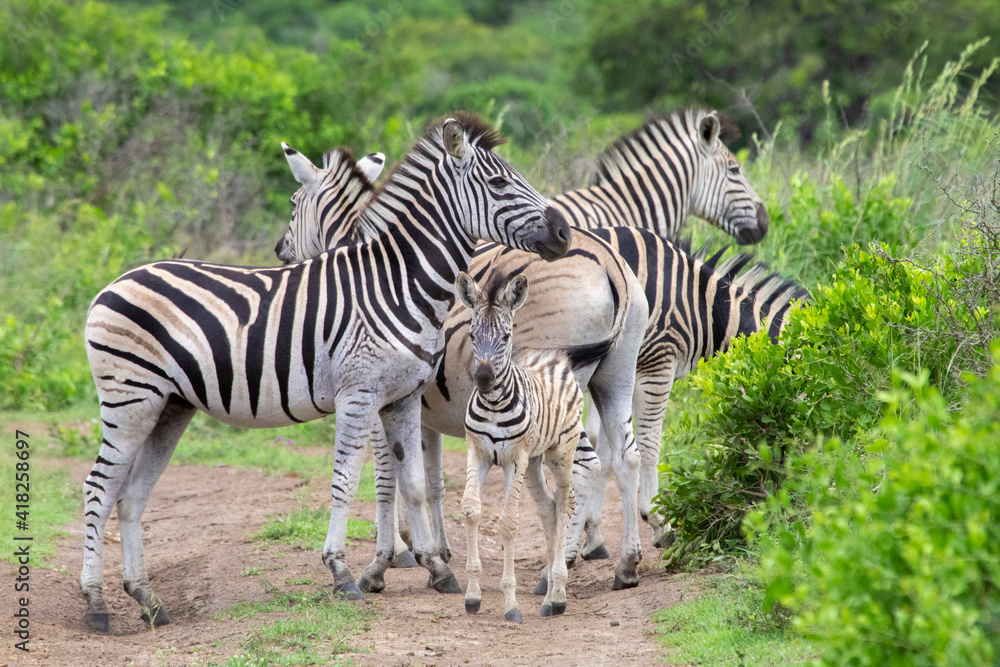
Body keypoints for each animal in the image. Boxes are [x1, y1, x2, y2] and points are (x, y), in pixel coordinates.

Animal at [79, 112, 572, 632]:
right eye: (499, 183)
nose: (564, 233)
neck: (398, 285)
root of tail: (111, 285)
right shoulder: (360, 395)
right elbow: (349, 481)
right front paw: (344, 573)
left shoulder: (403, 398)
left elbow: (413, 483)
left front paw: (436, 568)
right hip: (131, 397)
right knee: (100, 487)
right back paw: (96, 604)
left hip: (169, 406)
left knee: (131, 495)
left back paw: (148, 600)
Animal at [456, 271, 585, 623]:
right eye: (472, 335)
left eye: (505, 336)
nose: (483, 378)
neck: (493, 405)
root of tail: (554, 358)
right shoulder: (478, 452)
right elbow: (471, 509)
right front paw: (473, 596)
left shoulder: (515, 457)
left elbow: (508, 522)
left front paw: (511, 604)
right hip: (535, 461)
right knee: (549, 507)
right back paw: (551, 593)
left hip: (560, 452)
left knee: (566, 501)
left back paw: (557, 596)